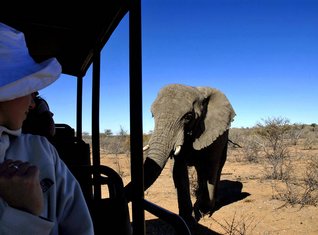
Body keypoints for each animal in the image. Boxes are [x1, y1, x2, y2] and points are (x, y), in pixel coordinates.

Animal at [124, 83, 236, 228]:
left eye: (188, 116)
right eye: (152, 115)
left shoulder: (215, 134)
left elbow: (211, 167)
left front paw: (205, 212)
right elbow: (179, 170)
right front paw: (188, 220)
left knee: (216, 168)